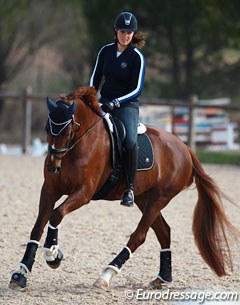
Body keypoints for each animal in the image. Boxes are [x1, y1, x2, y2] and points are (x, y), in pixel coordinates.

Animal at [10, 86, 237, 290]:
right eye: (47, 128)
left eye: (67, 130)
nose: (53, 166)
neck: (79, 145)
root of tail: (185, 148)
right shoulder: (49, 190)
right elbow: (38, 226)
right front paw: (21, 274)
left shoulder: (83, 193)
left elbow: (56, 215)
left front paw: (53, 254)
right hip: (144, 198)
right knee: (164, 232)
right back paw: (162, 278)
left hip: (158, 199)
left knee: (139, 236)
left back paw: (106, 276)